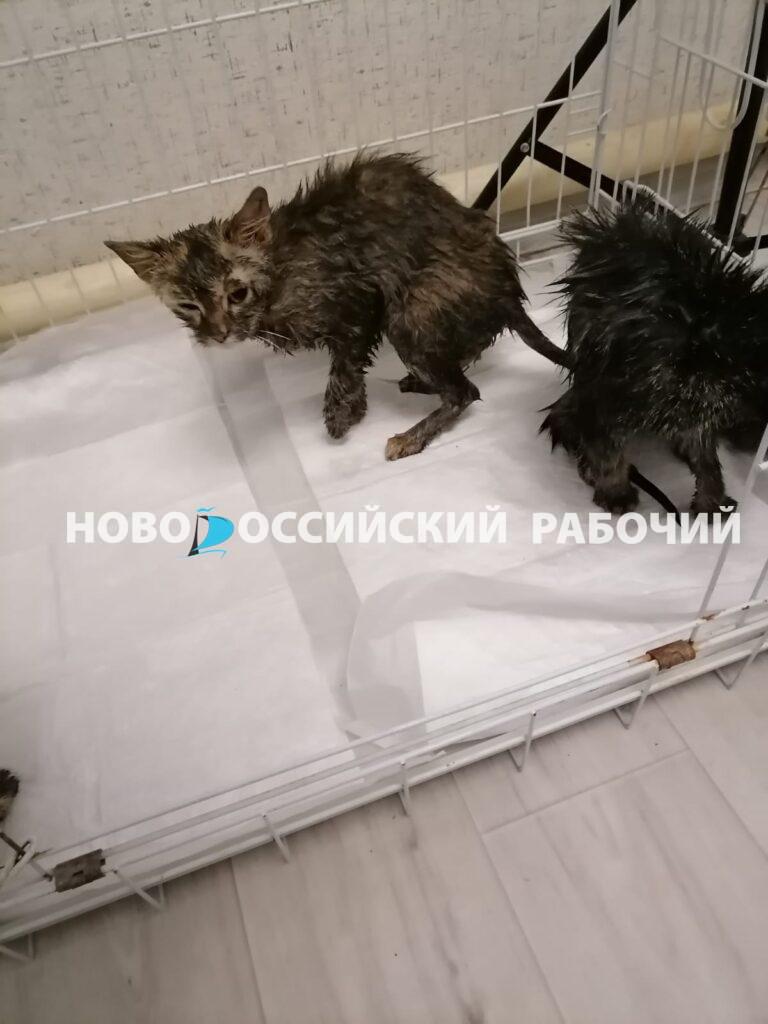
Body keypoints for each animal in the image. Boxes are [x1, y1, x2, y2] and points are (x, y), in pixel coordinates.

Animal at [106, 152, 567, 460]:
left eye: (236, 294)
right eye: (188, 305)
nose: (218, 335)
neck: (278, 276)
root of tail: (507, 290)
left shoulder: (359, 300)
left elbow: (344, 366)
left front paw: (341, 414)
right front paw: (351, 408)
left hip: (411, 309)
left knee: (465, 390)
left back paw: (411, 434)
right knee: (470, 353)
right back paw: (423, 380)